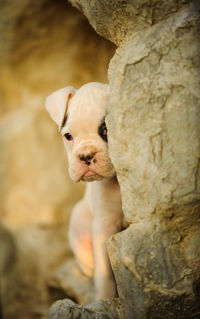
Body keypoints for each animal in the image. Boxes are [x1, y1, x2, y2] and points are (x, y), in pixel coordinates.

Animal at [45, 81, 123, 302]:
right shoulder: (104, 225)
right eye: (68, 136)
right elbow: (105, 271)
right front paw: (105, 299)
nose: (85, 155)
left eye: (106, 130)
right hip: (79, 221)